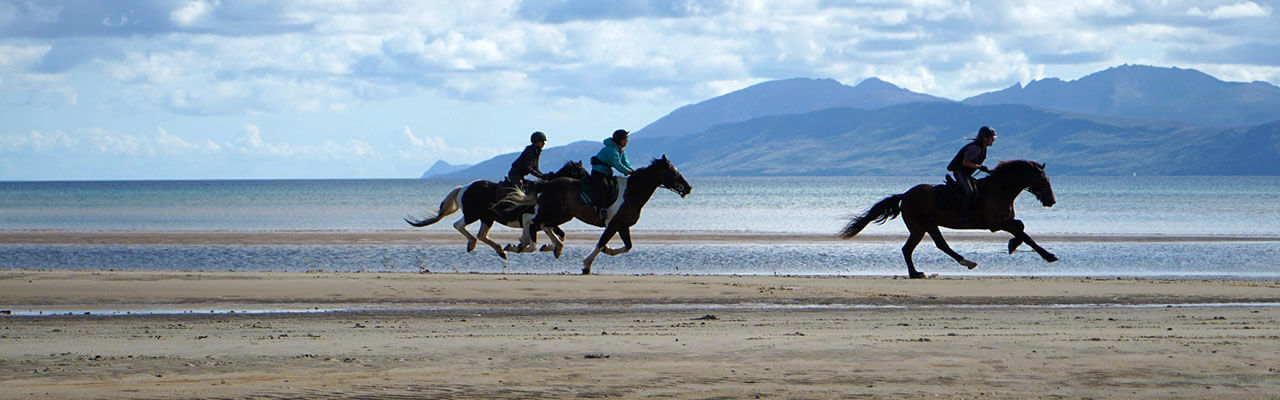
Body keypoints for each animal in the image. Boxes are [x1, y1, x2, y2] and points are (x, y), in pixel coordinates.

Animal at [404, 160, 588, 258]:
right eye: (581, 172)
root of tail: (463, 187)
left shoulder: (541, 220)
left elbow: (560, 234)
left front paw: (547, 247)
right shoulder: (531, 218)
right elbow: (532, 238)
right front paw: (523, 246)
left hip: (487, 218)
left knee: (482, 234)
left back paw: (500, 250)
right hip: (472, 214)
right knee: (459, 226)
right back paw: (472, 244)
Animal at [501, 154, 696, 273]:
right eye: (672, 171)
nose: (688, 187)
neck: (631, 193)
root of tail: (548, 184)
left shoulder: (623, 226)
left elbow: (627, 246)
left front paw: (609, 251)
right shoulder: (613, 224)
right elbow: (602, 242)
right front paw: (586, 264)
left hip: (563, 214)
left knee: (541, 224)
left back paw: (549, 247)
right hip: (554, 211)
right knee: (533, 222)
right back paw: (526, 245)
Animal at [834, 159, 1054, 278]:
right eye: (1043, 180)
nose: (1051, 201)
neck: (1000, 189)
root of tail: (905, 196)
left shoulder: (1003, 222)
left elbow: (1022, 228)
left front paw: (1013, 245)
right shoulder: (996, 223)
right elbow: (1025, 235)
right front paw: (1049, 255)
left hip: (925, 226)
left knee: (917, 247)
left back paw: (919, 273)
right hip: (921, 225)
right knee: (930, 246)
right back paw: (964, 262)